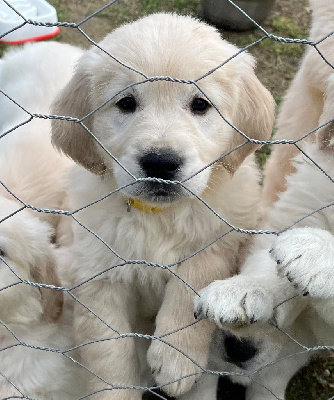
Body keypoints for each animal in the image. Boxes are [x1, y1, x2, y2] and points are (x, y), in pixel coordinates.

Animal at [51, 12, 276, 400]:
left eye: (200, 104)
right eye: (126, 103)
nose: (160, 163)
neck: (158, 216)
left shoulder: (217, 238)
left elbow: (193, 281)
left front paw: (176, 360)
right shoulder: (95, 270)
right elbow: (108, 348)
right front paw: (116, 390)